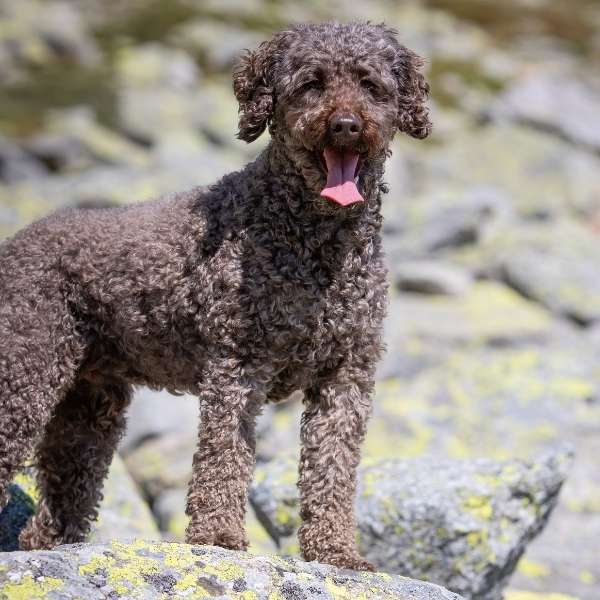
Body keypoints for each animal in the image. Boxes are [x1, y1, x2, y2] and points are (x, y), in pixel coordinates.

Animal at [0, 21, 430, 570]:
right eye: (311, 83)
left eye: (370, 85)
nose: (346, 126)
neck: (314, 246)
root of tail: (15, 244)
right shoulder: (237, 365)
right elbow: (223, 457)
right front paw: (219, 537)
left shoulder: (347, 373)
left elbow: (332, 469)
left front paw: (335, 551)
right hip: (25, 376)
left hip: (88, 405)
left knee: (56, 502)